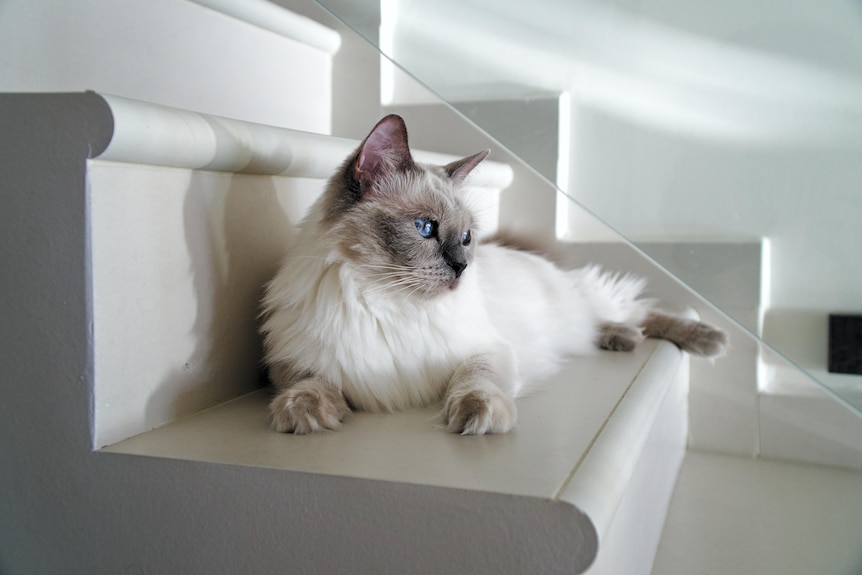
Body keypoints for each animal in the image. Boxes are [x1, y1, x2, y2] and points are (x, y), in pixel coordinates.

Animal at [258, 113, 728, 436]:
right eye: (425, 228)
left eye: (466, 237)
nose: (463, 268)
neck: (388, 305)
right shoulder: (296, 363)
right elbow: (312, 384)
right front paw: (302, 413)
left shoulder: (485, 351)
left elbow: (475, 382)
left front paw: (479, 417)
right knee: (616, 322)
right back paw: (621, 339)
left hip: (580, 302)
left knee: (637, 311)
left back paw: (708, 339)